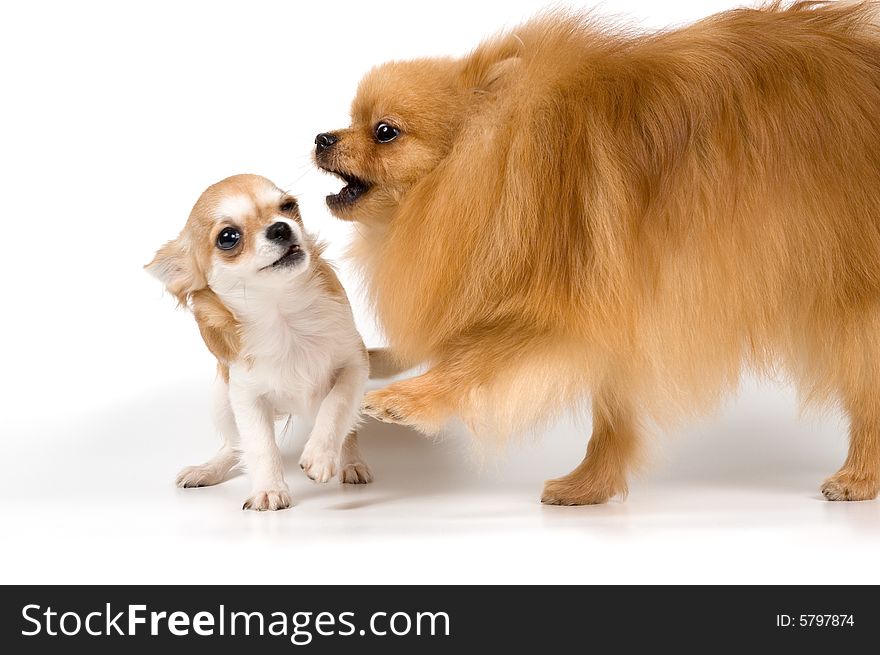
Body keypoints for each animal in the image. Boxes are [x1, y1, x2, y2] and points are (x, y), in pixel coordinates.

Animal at [150, 176, 370, 512]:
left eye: (289, 207)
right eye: (228, 237)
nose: (280, 228)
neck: (281, 314)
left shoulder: (355, 364)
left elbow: (337, 405)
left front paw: (320, 455)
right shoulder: (246, 396)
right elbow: (260, 444)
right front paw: (269, 490)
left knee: (350, 428)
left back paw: (351, 463)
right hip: (221, 400)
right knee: (235, 445)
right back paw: (208, 469)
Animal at [316, 1, 880, 508]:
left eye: (385, 131)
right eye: (350, 120)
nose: (322, 137)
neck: (494, 163)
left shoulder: (557, 302)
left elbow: (477, 356)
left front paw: (405, 399)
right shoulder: (614, 302)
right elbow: (611, 414)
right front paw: (590, 485)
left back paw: (857, 478)